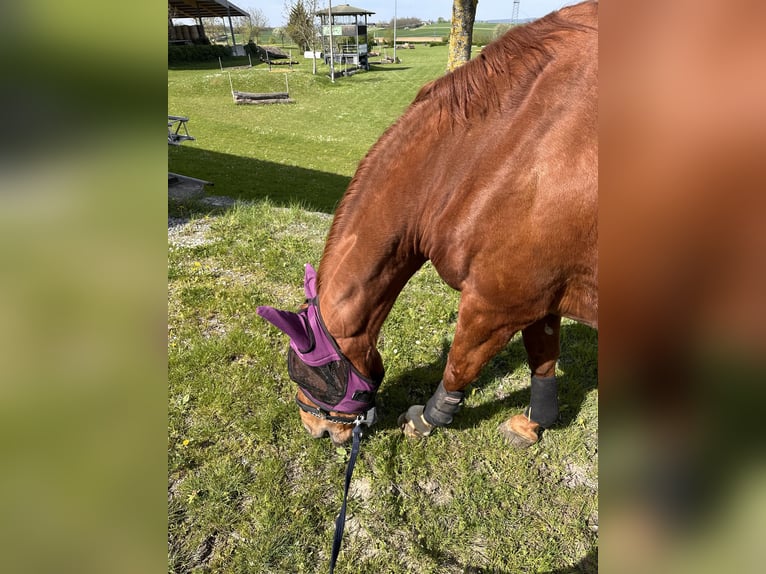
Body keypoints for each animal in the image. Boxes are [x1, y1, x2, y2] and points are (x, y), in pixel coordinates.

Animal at [258, 0, 600, 448]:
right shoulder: (538, 296)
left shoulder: (494, 303)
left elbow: (460, 363)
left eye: (307, 374)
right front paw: (534, 422)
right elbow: (542, 358)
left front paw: (428, 419)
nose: (316, 428)